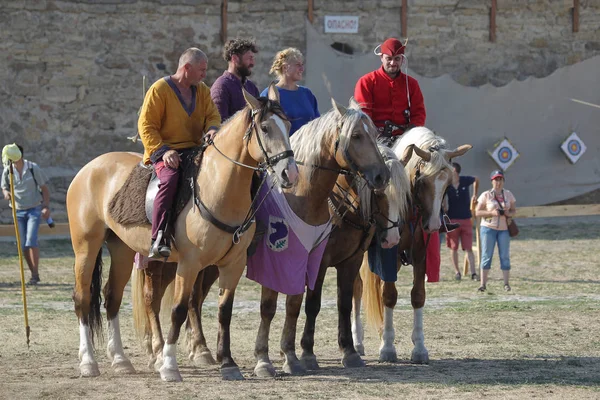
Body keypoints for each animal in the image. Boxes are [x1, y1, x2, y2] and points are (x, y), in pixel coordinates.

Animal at [69, 84, 298, 382]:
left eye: (288, 125)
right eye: (266, 127)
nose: (290, 173)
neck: (218, 187)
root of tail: (89, 168)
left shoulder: (233, 265)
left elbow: (224, 311)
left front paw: (228, 363)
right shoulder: (189, 265)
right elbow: (178, 310)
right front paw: (169, 365)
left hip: (121, 250)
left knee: (112, 298)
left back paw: (120, 359)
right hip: (86, 247)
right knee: (83, 298)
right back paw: (88, 361)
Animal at [296, 145, 410, 370]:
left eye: (402, 196)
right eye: (379, 193)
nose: (393, 239)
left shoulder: (351, 262)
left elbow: (345, 305)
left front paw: (349, 350)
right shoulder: (318, 264)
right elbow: (313, 305)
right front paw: (307, 352)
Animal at [354, 126, 472, 364]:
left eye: (447, 184)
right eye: (423, 181)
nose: (433, 225)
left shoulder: (419, 253)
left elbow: (418, 295)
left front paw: (419, 348)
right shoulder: (388, 254)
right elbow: (388, 295)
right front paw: (387, 348)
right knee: (357, 289)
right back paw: (358, 341)